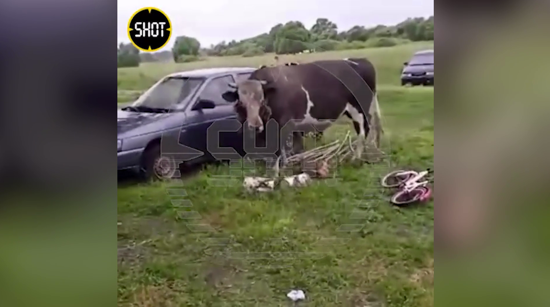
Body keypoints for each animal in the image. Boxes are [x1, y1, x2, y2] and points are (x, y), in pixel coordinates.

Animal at [222, 56, 386, 165]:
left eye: (262, 100)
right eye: (241, 102)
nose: (255, 126)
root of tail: (358, 60)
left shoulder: (284, 123)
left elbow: (280, 149)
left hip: (360, 109)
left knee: (363, 131)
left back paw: (356, 158)